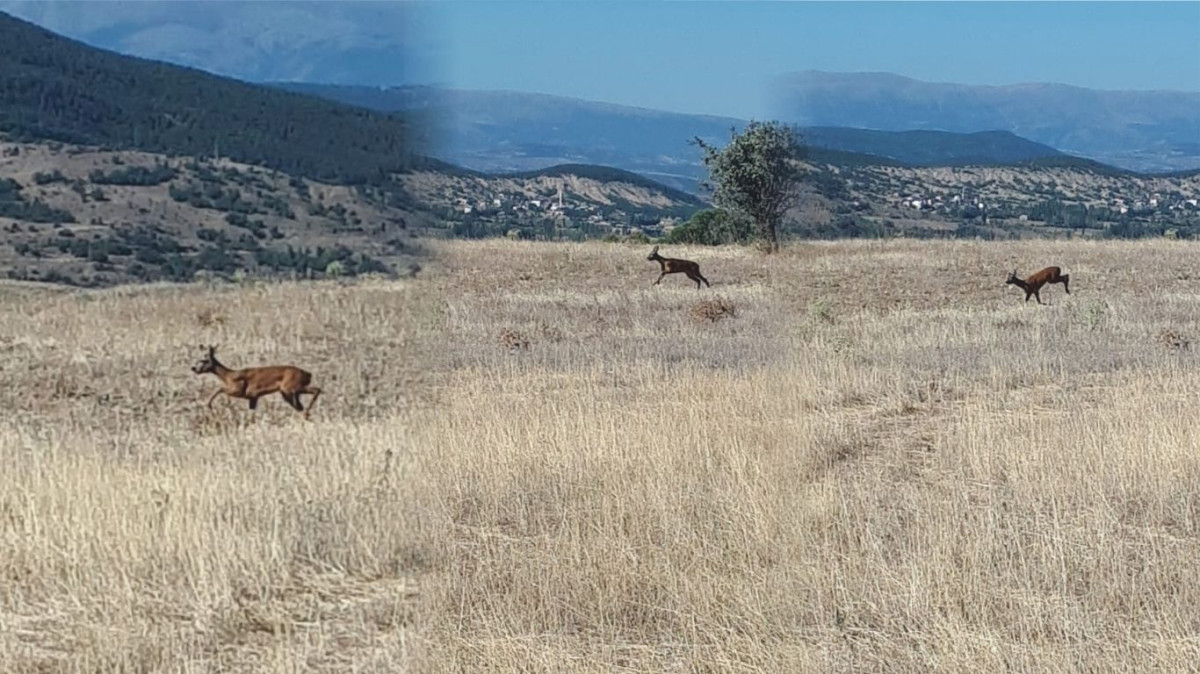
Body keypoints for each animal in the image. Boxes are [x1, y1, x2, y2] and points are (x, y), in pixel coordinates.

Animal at [188, 342, 321, 417]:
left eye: (204, 360)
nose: (194, 368)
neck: (229, 376)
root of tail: (308, 374)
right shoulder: (253, 396)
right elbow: (251, 414)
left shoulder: (238, 390)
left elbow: (220, 388)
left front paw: (209, 405)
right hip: (289, 392)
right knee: (302, 404)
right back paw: (306, 414)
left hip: (289, 388)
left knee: (316, 389)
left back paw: (307, 412)